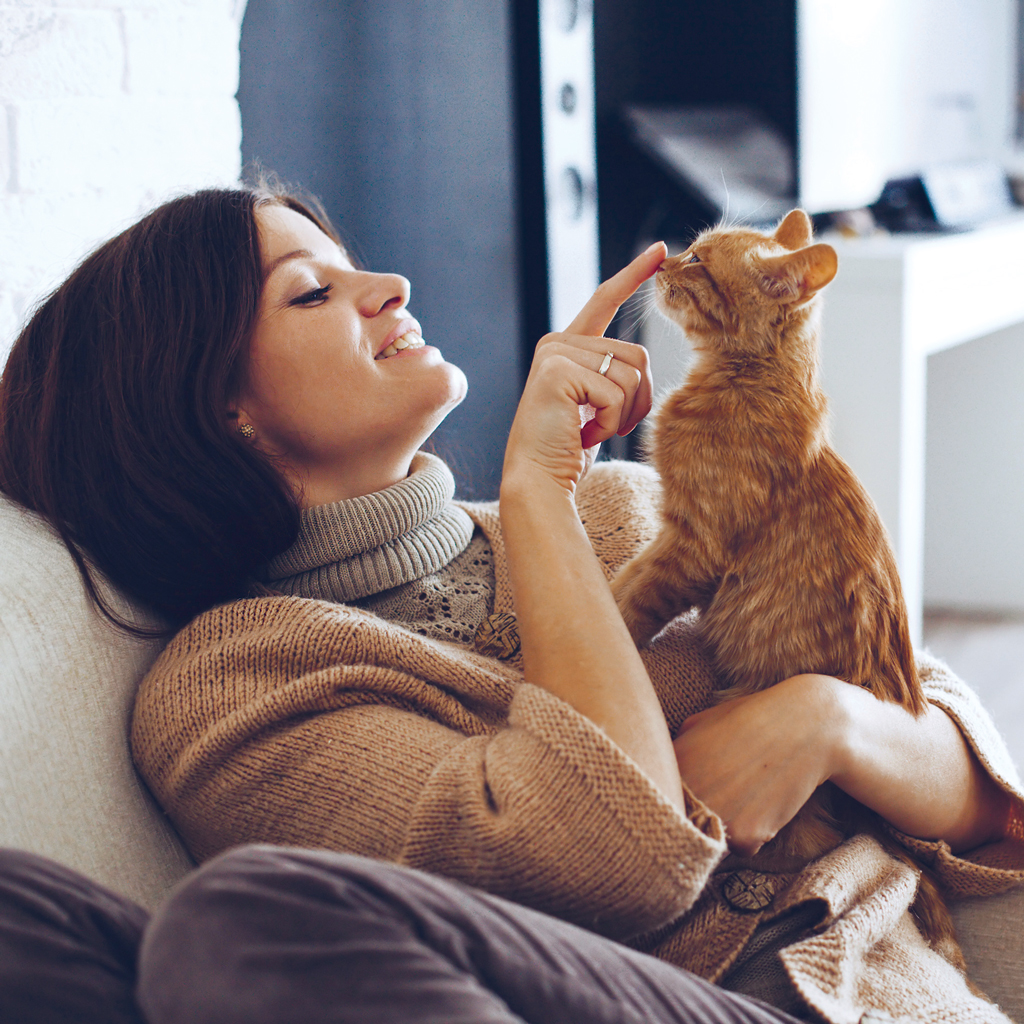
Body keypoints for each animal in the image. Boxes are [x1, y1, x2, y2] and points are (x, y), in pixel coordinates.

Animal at [610, 209, 962, 966]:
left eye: (701, 264)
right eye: (690, 248)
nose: (663, 260)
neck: (742, 380)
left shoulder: (690, 546)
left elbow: (630, 598)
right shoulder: (675, 538)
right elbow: (624, 576)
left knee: (806, 848)